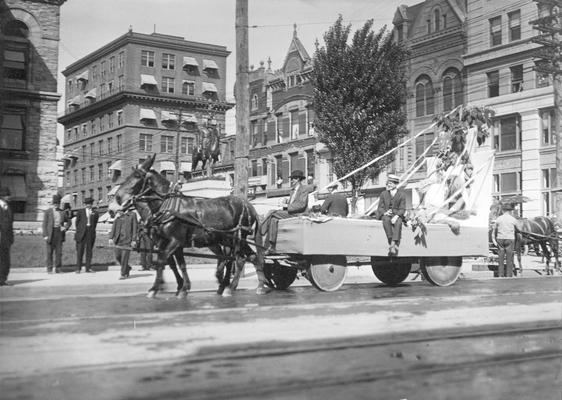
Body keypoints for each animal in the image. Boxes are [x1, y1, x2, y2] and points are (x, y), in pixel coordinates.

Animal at [114, 155, 266, 298]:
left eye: (137, 176)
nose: (117, 196)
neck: (167, 207)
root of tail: (248, 204)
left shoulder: (175, 241)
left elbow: (162, 260)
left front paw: (156, 288)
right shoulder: (169, 243)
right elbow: (179, 265)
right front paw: (182, 287)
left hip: (236, 238)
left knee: (236, 259)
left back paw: (230, 287)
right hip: (226, 240)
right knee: (249, 257)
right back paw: (257, 285)